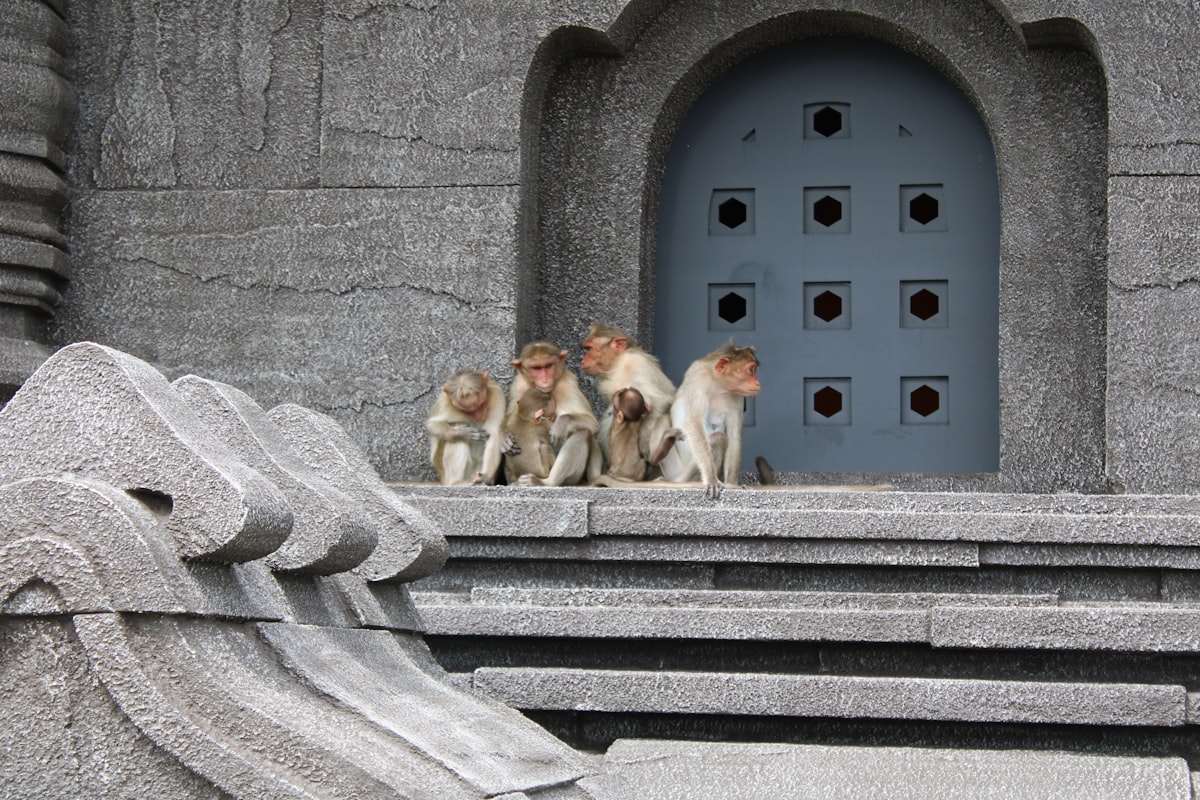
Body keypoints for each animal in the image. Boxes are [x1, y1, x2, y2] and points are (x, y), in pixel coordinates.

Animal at [504, 341, 602, 486]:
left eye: (549, 366)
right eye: (536, 368)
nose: (544, 380)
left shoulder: (567, 383)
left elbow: (592, 423)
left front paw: (562, 423)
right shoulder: (518, 384)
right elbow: (507, 417)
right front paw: (504, 439)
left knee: (583, 433)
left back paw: (546, 483)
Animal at [580, 323, 681, 471]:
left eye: (589, 349)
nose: (582, 361)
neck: (619, 363)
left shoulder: (637, 363)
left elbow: (662, 400)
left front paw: (644, 440)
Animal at [657, 343, 761, 499]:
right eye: (751, 369)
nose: (757, 382)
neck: (719, 385)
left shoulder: (737, 395)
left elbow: (734, 436)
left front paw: (732, 485)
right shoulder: (698, 378)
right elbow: (693, 423)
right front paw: (711, 480)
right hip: (675, 470)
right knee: (718, 439)